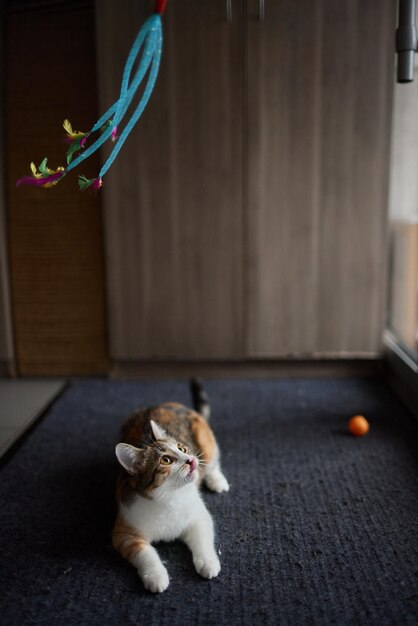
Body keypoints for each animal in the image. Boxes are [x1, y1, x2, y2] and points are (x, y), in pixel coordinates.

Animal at [112, 378, 229, 592]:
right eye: (166, 460)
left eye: (182, 448)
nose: (191, 460)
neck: (169, 498)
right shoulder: (124, 531)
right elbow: (145, 553)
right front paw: (156, 576)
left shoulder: (198, 516)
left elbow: (203, 538)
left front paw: (208, 563)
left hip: (205, 440)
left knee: (213, 460)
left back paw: (217, 480)